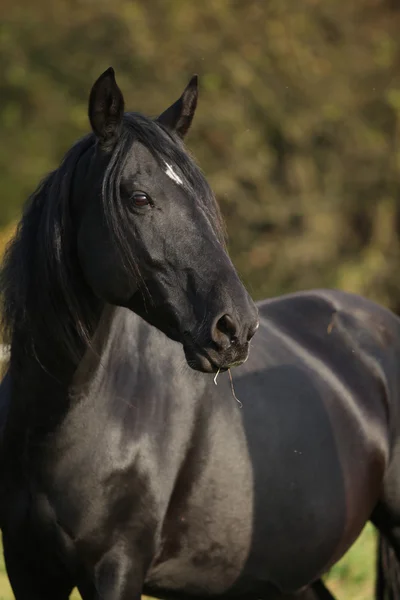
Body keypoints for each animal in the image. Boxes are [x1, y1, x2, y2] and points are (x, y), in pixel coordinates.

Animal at [0, 68, 396, 596]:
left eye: (202, 197)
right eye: (139, 197)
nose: (238, 326)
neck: (53, 424)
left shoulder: (115, 568)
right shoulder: (28, 569)